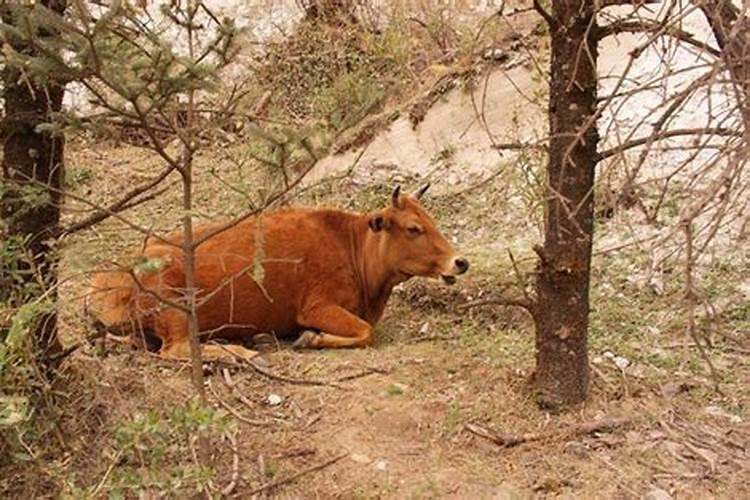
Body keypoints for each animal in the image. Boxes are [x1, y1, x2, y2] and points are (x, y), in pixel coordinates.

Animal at [85, 186, 468, 362]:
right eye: (414, 228)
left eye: (431, 220)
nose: (459, 262)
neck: (351, 244)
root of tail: (100, 283)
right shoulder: (316, 307)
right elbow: (366, 332)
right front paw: (311, 339)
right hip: (176, 306)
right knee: (176, 349)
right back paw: (241, 352)